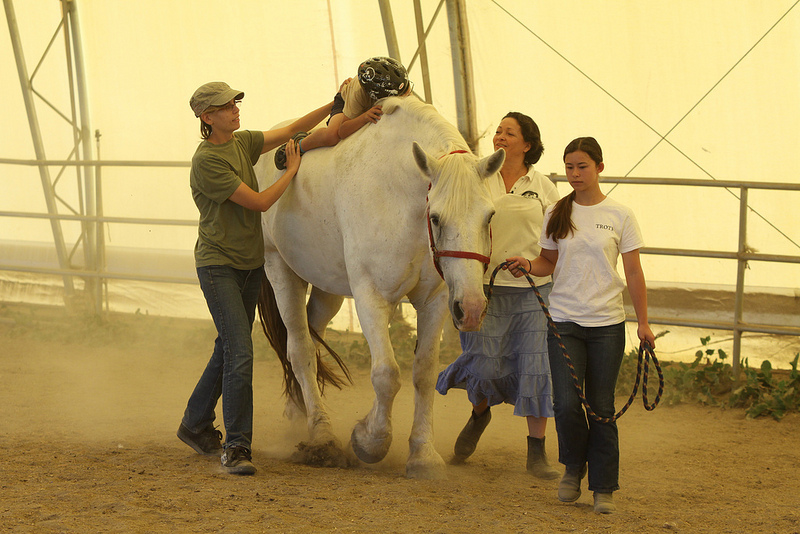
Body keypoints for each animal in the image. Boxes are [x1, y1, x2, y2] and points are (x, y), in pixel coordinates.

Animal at [255, 95, 504, 479]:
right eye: (436, 218)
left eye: (489, 216)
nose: (473, 309)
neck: (402, 196)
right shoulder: (372, 298)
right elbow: (387, 374)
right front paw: (369, 441)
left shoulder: (435, 301)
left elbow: (423, 373)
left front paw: (422, 454)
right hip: (281, 270)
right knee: (299, 349)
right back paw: (322, 434)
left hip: (328, 288)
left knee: (310, 337)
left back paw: (299, 413)